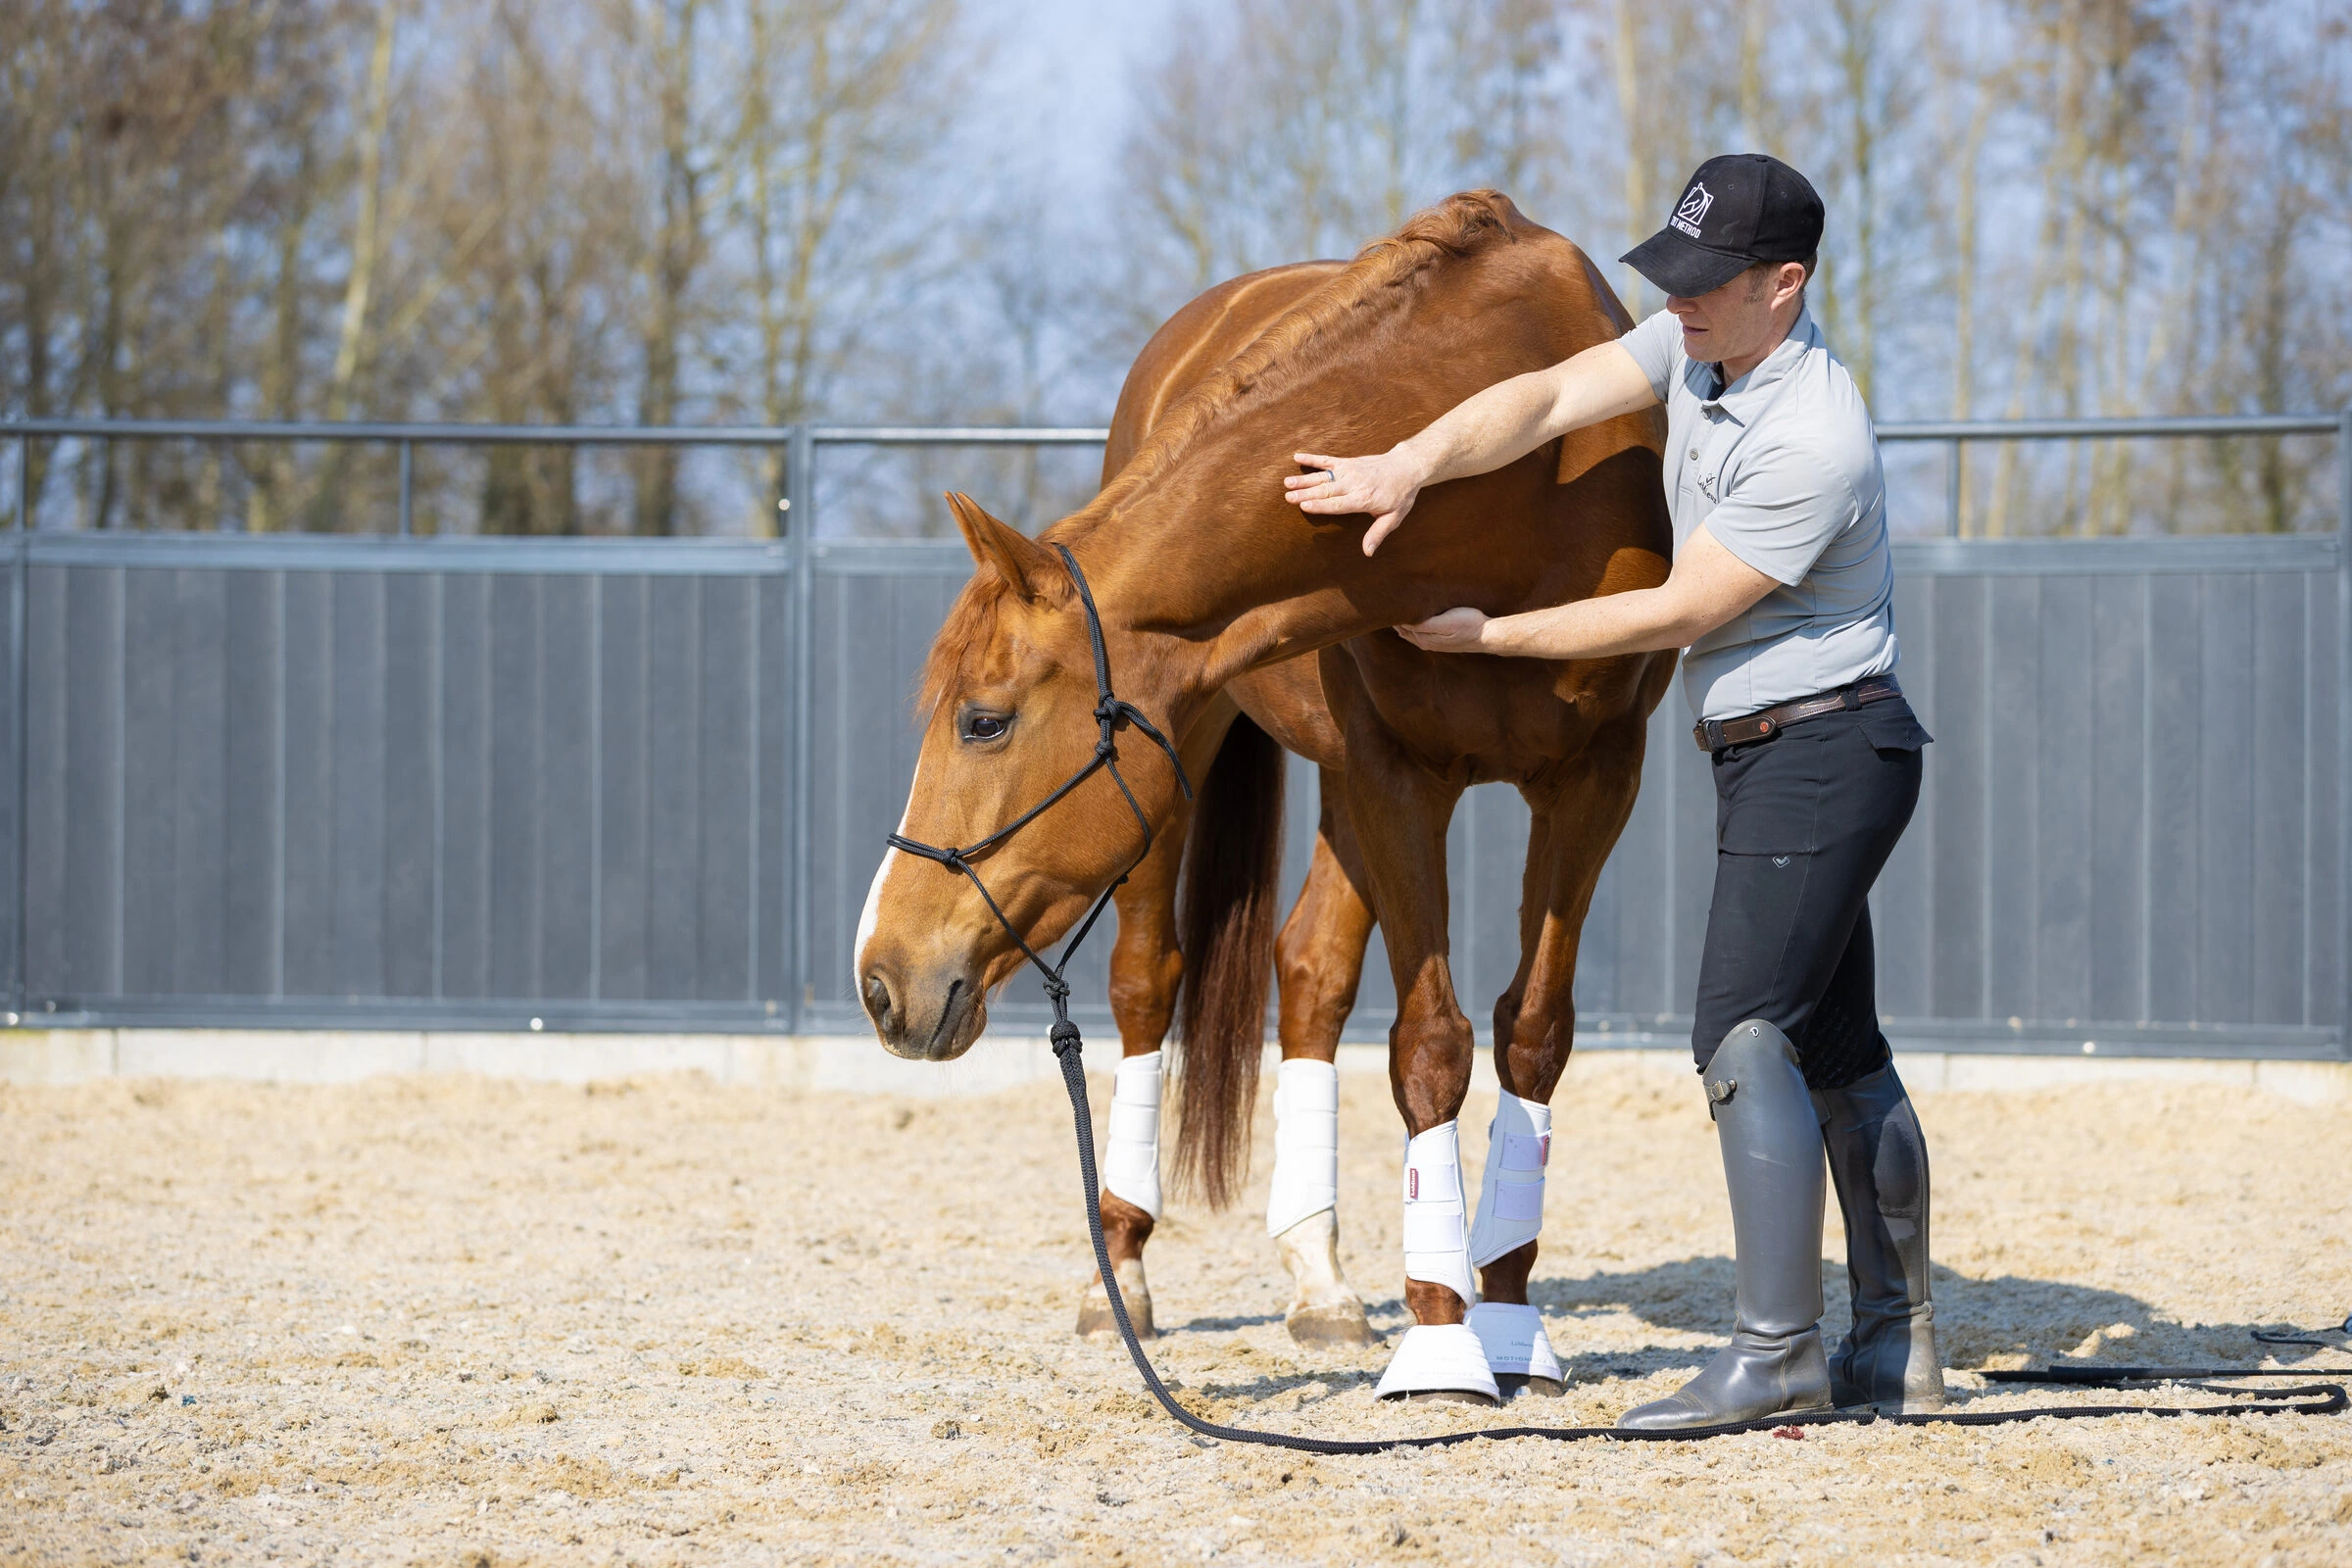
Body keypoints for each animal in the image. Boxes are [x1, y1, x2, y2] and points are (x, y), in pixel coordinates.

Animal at [856, 191, 1675, 1402]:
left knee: (1311, 975)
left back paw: (1322, 1284)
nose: (880, 980)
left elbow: (1529, 1034)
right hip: (1200, 766)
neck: (1519, 479)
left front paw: (1504, 1316)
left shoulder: (1596, 777)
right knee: (1150, 982)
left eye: (984, 720)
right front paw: (1444, 1335)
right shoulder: (1396, 774)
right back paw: (1124, 1264)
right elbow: (1429, 1044)